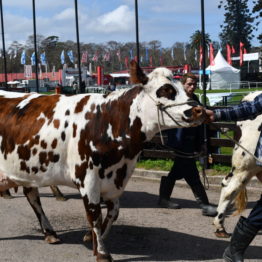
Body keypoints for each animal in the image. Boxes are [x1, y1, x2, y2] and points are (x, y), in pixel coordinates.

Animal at [0, 61, 205, 262]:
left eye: (184, 87)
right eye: (166, 90)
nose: (200, 111)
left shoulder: (115, 181)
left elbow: (113, 213)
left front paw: (90, 237)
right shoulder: (88, 179)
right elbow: (95, 215)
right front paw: (102, 252)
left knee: (32, 196)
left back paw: (50, 233)